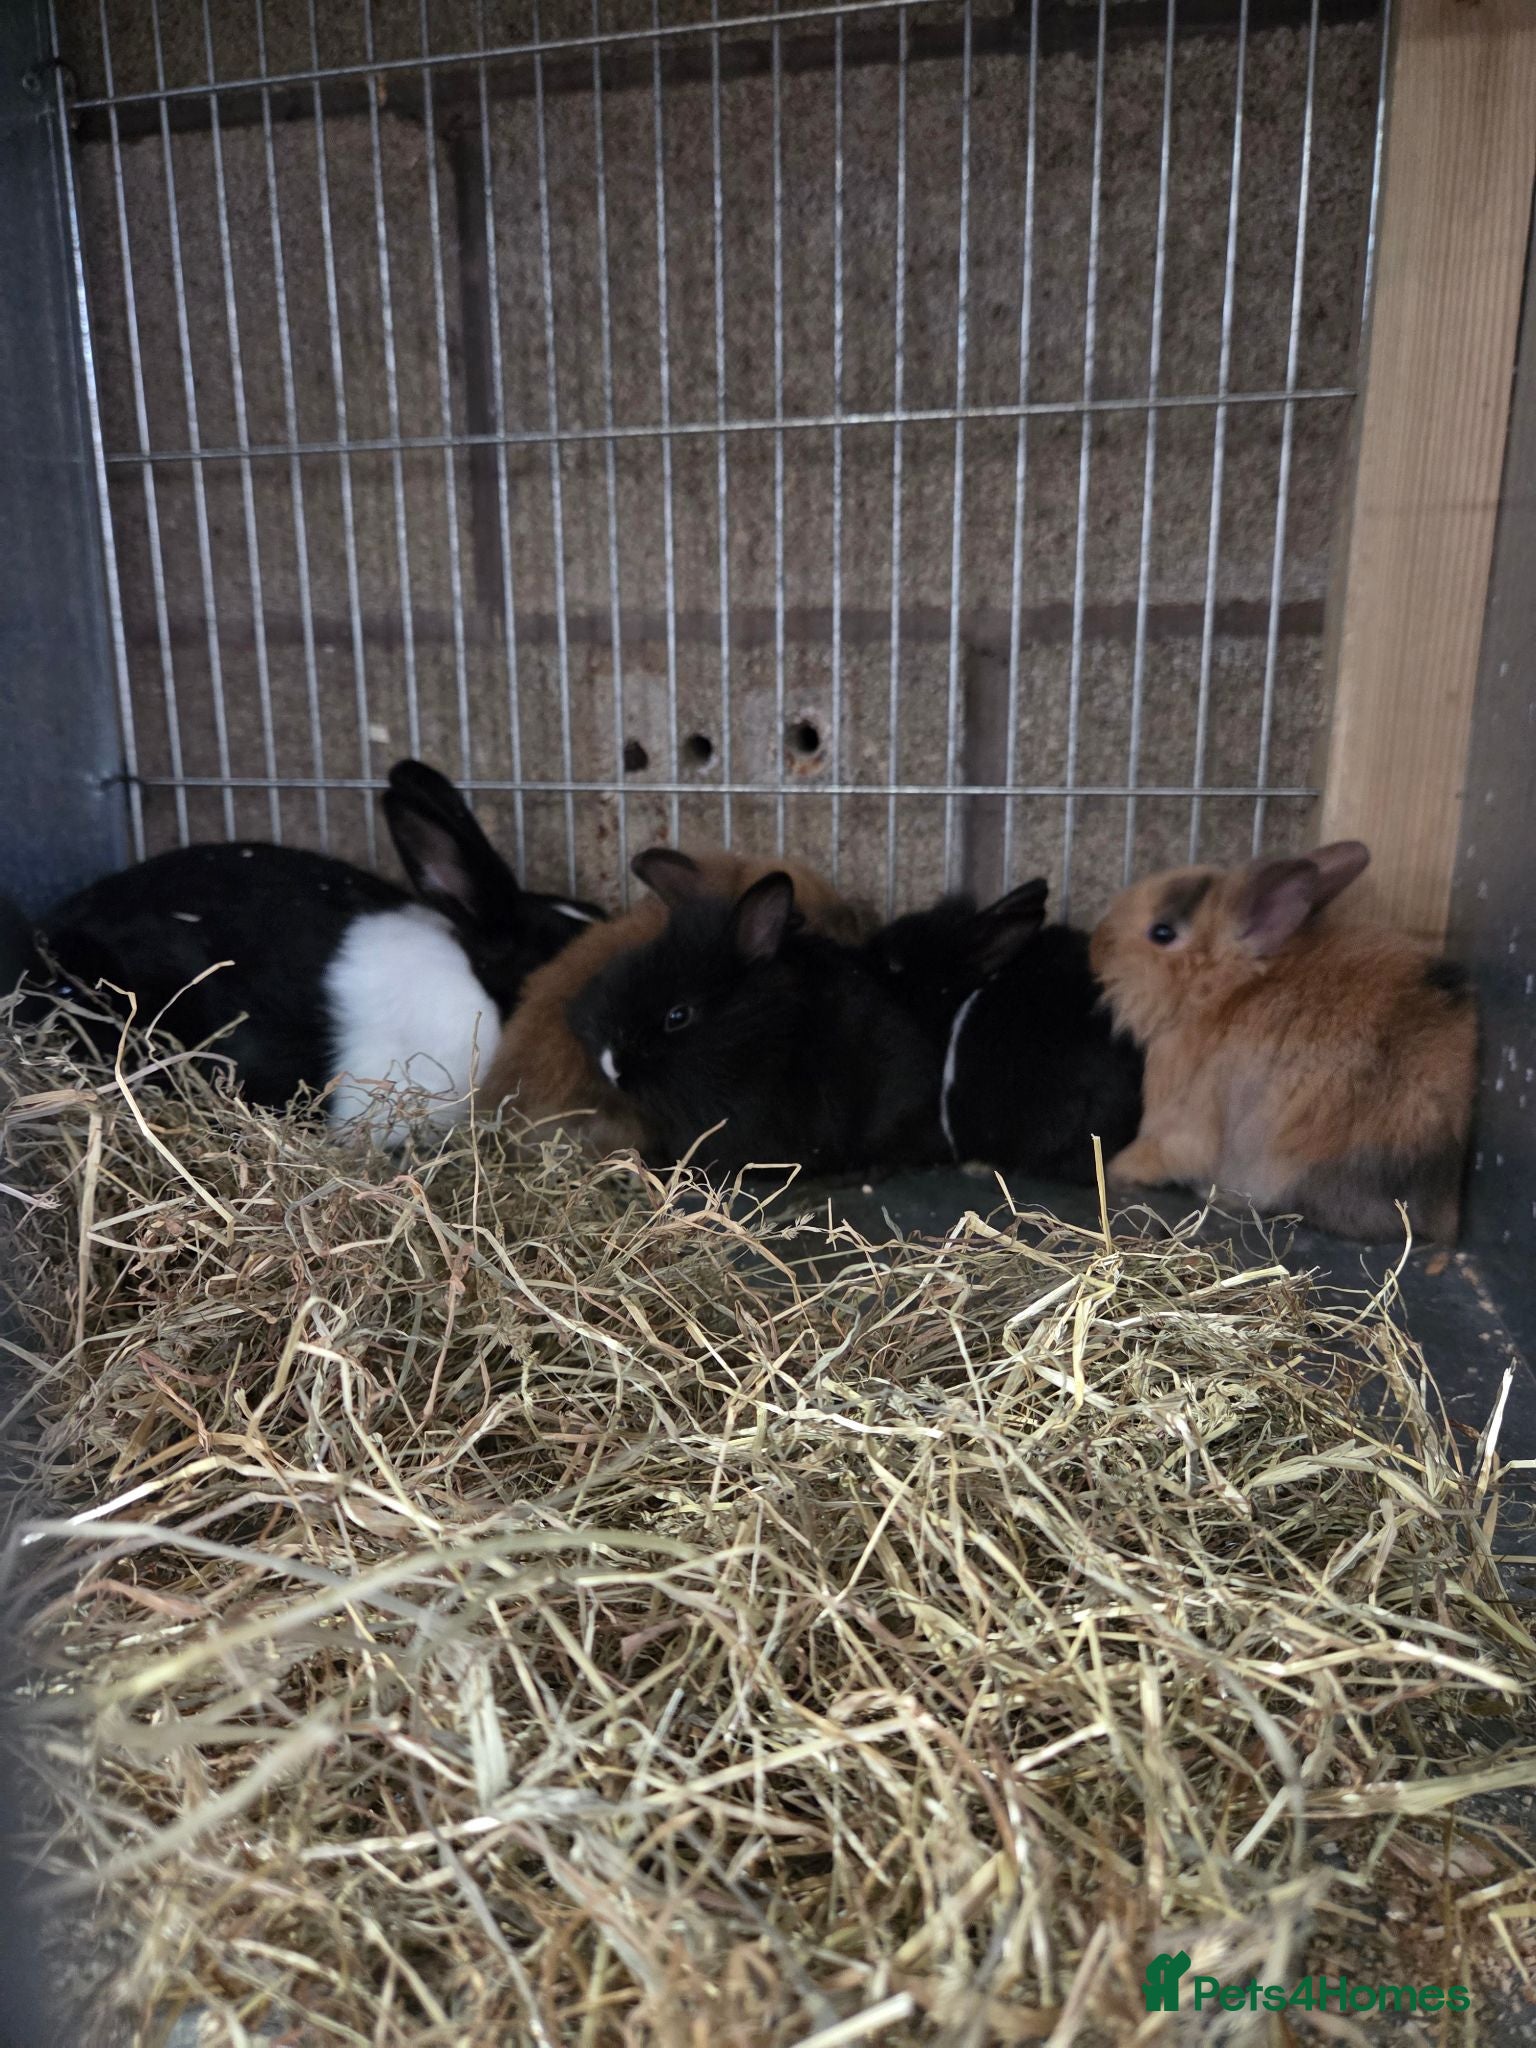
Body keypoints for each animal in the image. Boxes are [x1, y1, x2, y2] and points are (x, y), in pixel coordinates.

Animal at [1088, 840, 1478, 1242]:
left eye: (1162, 933)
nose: (1096, 947)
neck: (1226, 994)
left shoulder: (1184, 1119)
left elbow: (1163, 1151)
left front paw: (1117, 1169)